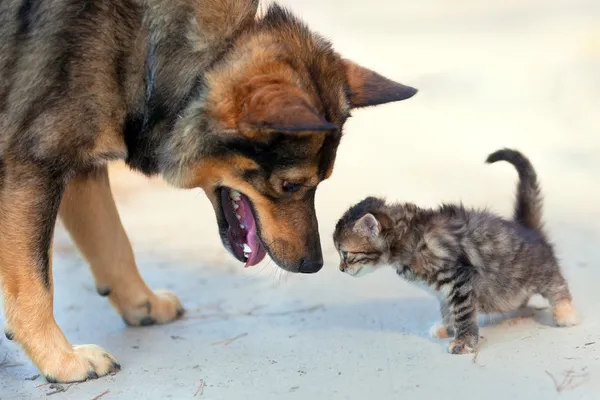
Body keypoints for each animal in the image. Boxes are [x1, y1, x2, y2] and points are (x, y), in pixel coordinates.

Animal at [0, 0, 418, 382]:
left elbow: (114, 242)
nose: (314, 265)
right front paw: (60, 360)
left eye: (323, 181)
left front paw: (141, 303)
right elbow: (36, 282)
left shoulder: (81, 165)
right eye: (291, 185)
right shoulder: (32, 164)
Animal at [336, 149, 580, 354]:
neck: (408, 237)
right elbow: (447, 308)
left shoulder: (459, 278)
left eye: (345, 254)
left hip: (539, 269)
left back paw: (565, 313)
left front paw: (464, 342)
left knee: (557, 284)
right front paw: (447, 327)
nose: (340, 269)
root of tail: (525, 227)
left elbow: (462, 313)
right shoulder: (443, 289)